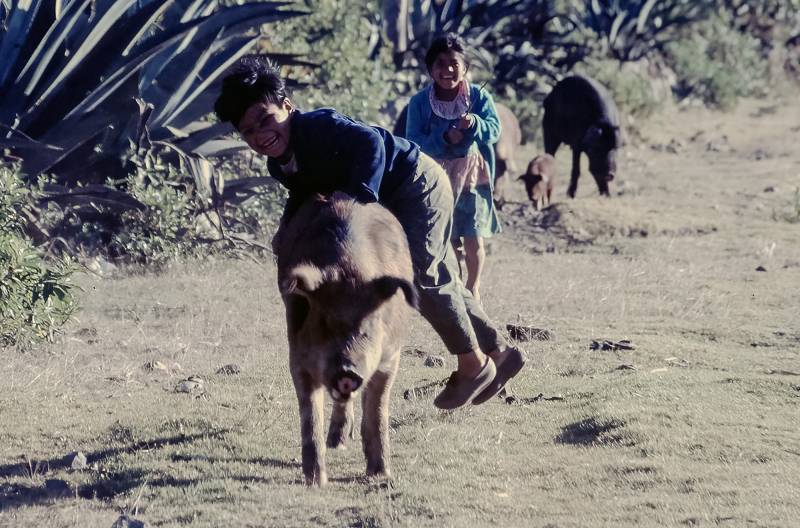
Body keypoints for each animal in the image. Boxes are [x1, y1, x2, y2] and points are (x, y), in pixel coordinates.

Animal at [276, 193, 418, 486]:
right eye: (325, 325)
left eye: (367, 329)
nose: (347, 371)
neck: (350, 270)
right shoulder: (297, 358)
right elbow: (310, 417)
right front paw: (316, 482)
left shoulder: (390, 356)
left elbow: (377, 411)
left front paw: (381, 475)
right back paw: (336, 443)